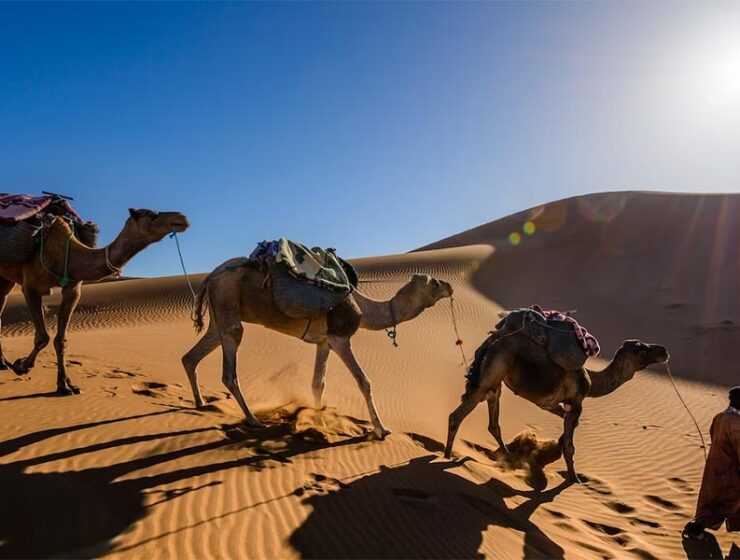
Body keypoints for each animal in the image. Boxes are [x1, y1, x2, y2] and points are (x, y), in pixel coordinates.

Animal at [0, 208, 189, 396]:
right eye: (152, 215)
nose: (182, 218)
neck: (66, 253)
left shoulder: (73, 289)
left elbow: (61, 340)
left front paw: (65, 385)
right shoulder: (30, 287)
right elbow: (42, 338)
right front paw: (21, 366)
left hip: (6, 280)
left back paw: (2, 363)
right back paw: (5, 363)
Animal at [182, 260, 454, 440]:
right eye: (434, 282)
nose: (450, 286)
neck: (363, 307)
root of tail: (210, 277)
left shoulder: (324, 342)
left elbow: (317, 383)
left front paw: (319, 420)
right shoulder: (340, 337)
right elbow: (364, 381)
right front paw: (381, 429)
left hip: (218, 316)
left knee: (191, 356)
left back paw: (201, 403)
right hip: (227, 302)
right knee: (229, 368)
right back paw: (252, 419)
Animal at [446, 332, 672, 482]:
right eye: (642, 349)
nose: (664, 350)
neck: (592, 382)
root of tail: (490, 344)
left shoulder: (553, 404)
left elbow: (569, 427)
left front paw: (550, 452)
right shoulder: (577, 403)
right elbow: (571, 446)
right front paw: (574, 479)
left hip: (496, 382)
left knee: (493, 423)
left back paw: (508, 458)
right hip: (490, 376)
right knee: (457, 416)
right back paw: (448, 456)